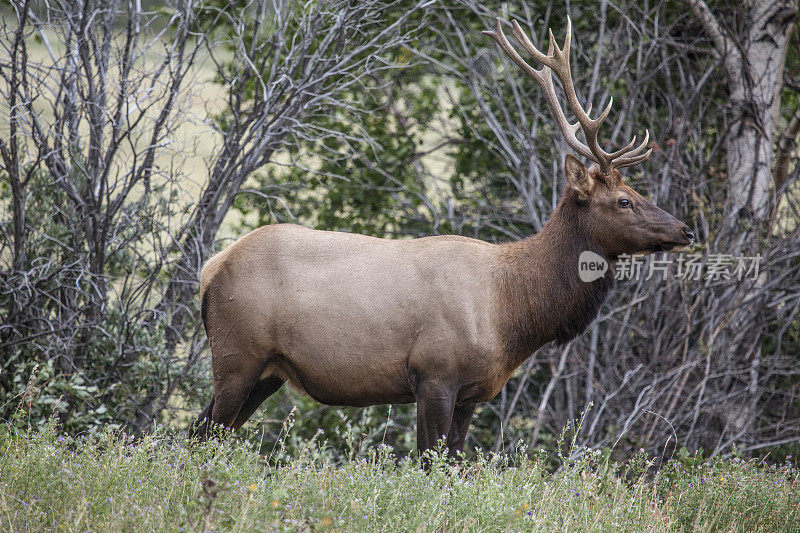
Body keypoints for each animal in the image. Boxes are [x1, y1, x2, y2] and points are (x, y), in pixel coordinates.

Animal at [189, 17, 692, 458]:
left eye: (636, 192)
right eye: (624, 200)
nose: (685, 230)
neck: (511, 313)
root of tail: (211, 269)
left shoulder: (472, 392)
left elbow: (455, 463)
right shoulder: (434, 374)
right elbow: (428, 462)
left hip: (269, 372)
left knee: (204, 431)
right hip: (238, 354)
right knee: (203, 433)